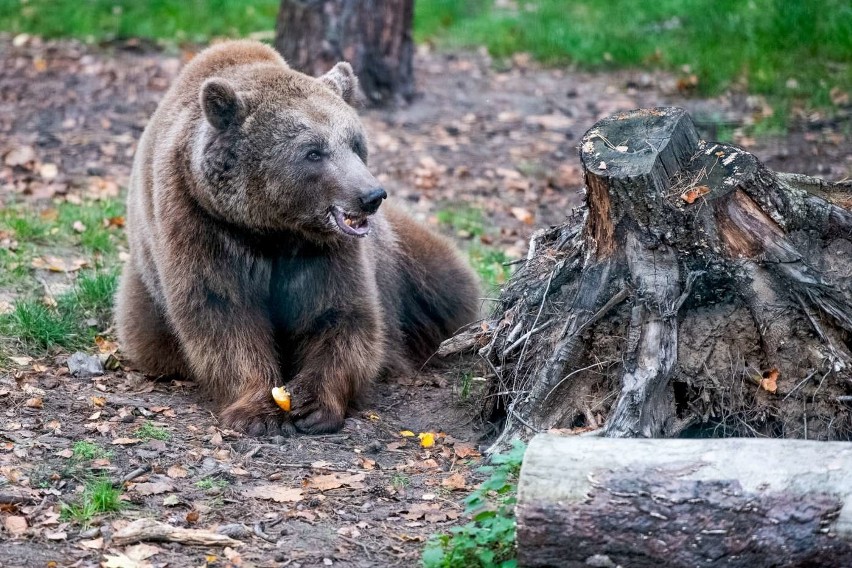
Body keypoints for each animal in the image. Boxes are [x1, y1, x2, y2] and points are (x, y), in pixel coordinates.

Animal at [115, 41, 480, 434]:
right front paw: (257, 410)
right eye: (313, 151)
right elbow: (222, 313)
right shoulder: (201, 224)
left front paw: (312, 404)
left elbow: (339, 313)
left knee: (448, 286)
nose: (371, 195)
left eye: (355, 143)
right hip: (145, 302)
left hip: (405, 262)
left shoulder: (323, 250)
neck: (271, 227)